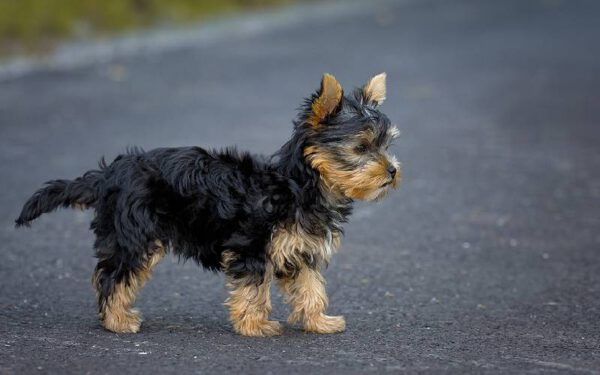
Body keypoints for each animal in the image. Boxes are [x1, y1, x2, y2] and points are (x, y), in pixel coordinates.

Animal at [16, 73, 400, 338]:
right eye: (361, 147)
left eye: (386, 145)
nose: (393, 170)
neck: (299, 185)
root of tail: (109, 174)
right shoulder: (252, 247)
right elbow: (253, 289)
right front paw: (255, 326)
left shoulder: (299, 251)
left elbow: (311, 288)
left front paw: (319, 321)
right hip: (135, 235)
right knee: (115, 275)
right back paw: (117, 321)